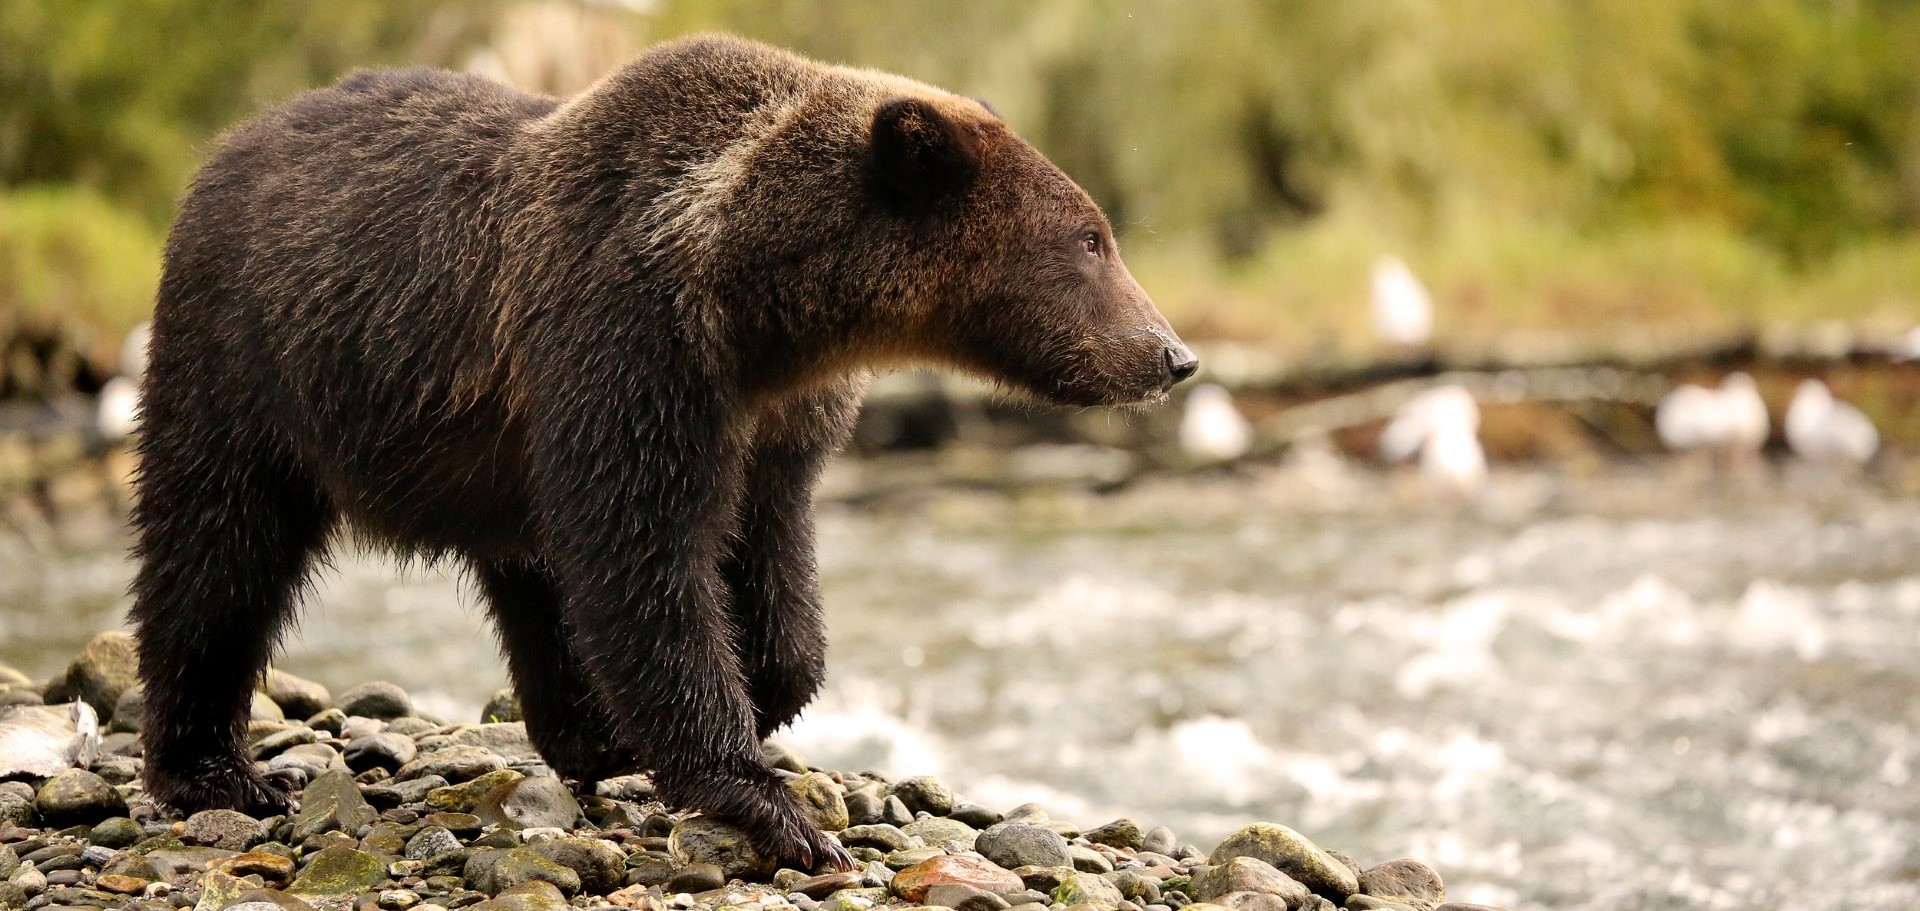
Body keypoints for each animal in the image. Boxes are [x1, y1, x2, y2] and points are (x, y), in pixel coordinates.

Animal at [130, 34, 1195, 870]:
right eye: (1092, 239)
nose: (1172, 354)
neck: (758, 291)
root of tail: (231, 143)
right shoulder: (633, 346)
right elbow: (646, 561)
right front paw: (771, 803)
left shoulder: (777, 419)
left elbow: (766, 560)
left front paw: (764, 689)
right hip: (246, 360)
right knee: (217, 546)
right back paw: (217, 769)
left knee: (528, 576)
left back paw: (583, 733)